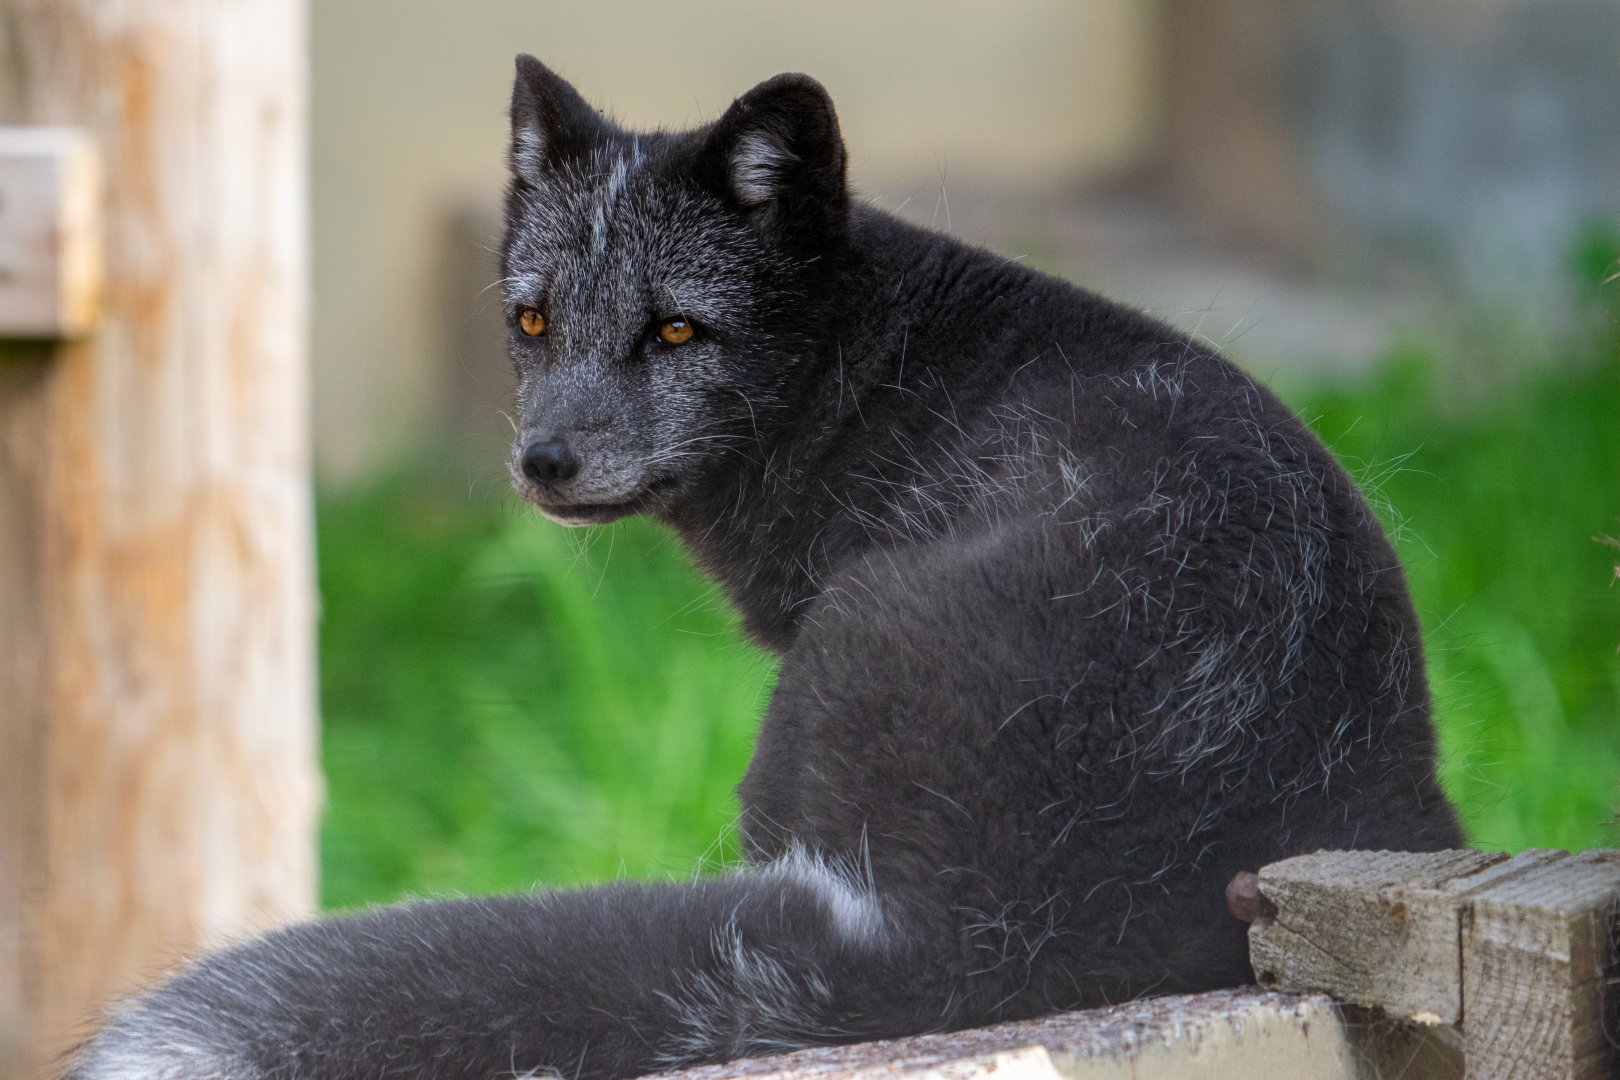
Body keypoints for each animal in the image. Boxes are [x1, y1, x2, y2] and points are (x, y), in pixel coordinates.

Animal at [66, 58, 1462, 1080]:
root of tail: (982, 937)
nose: (543, 461)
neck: (876, 363)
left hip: (840, 652)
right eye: (531, 320)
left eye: (677, 330)